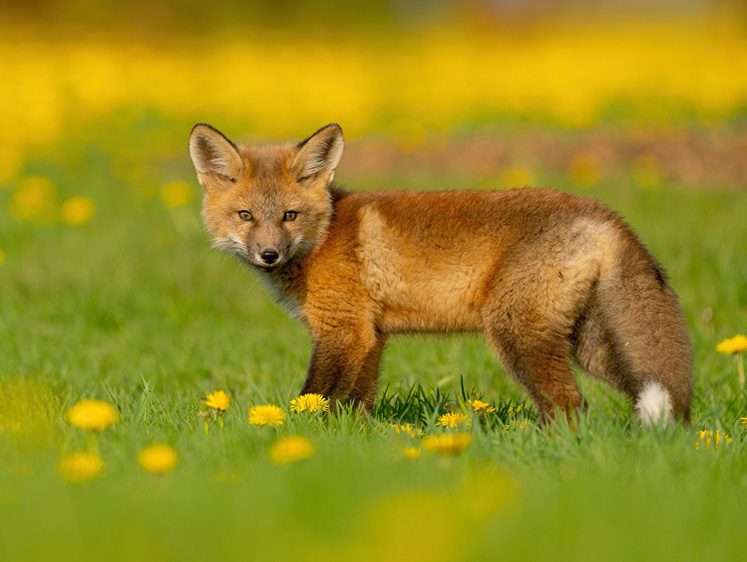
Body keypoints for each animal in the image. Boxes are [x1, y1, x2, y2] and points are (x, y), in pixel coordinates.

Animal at [188, 122, 696, 424]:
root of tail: (601, 211)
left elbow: (315, 396)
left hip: (517, 334)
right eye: (245, 216)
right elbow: (358, 403)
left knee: (571, 406)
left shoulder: (343, 330)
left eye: (289, 216)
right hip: (588, 343)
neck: (324, 235)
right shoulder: (372, 335)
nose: (269, 254)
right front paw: (353, 446)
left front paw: (300, 438)